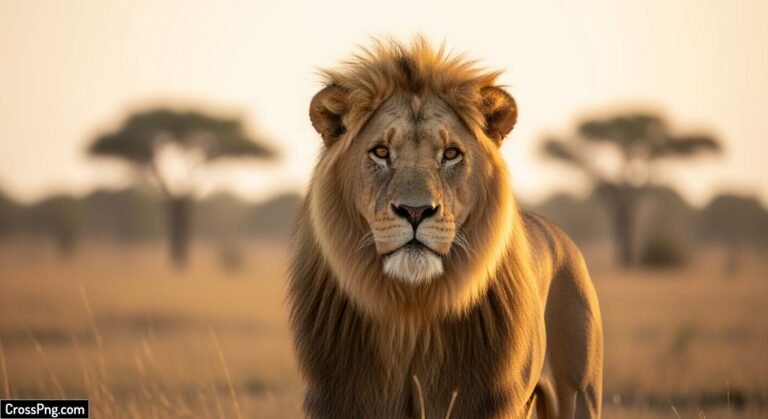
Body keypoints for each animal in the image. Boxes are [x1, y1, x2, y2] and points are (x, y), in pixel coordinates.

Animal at [288, 37, 603, 419]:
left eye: (451, 154)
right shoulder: (339, 398)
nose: (415, 210)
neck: (412, 309)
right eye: (381, 152)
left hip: (579, 392)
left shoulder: (490, 399)